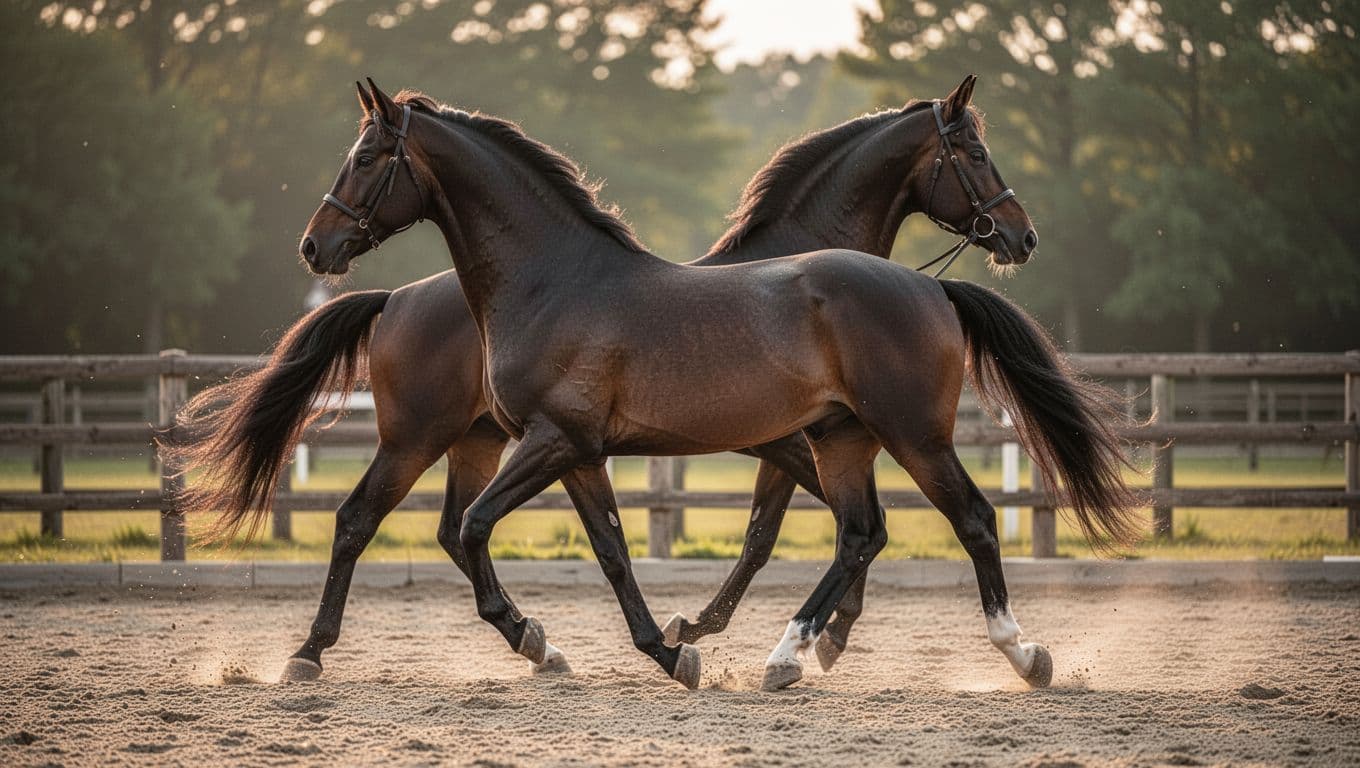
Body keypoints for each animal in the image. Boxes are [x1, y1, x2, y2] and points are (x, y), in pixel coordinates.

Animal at [173, 75, 1060, 683]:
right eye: (974, 153)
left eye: (364, 157)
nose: (315, 247)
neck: (553, 280)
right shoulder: (575, 449)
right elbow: (610, 549)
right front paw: (671, 649)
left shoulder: (567, 444)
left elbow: (536, 535)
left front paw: (681, 645)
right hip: (449, 439)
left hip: (906, 436)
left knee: (962, 519)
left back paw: (1016, 654)